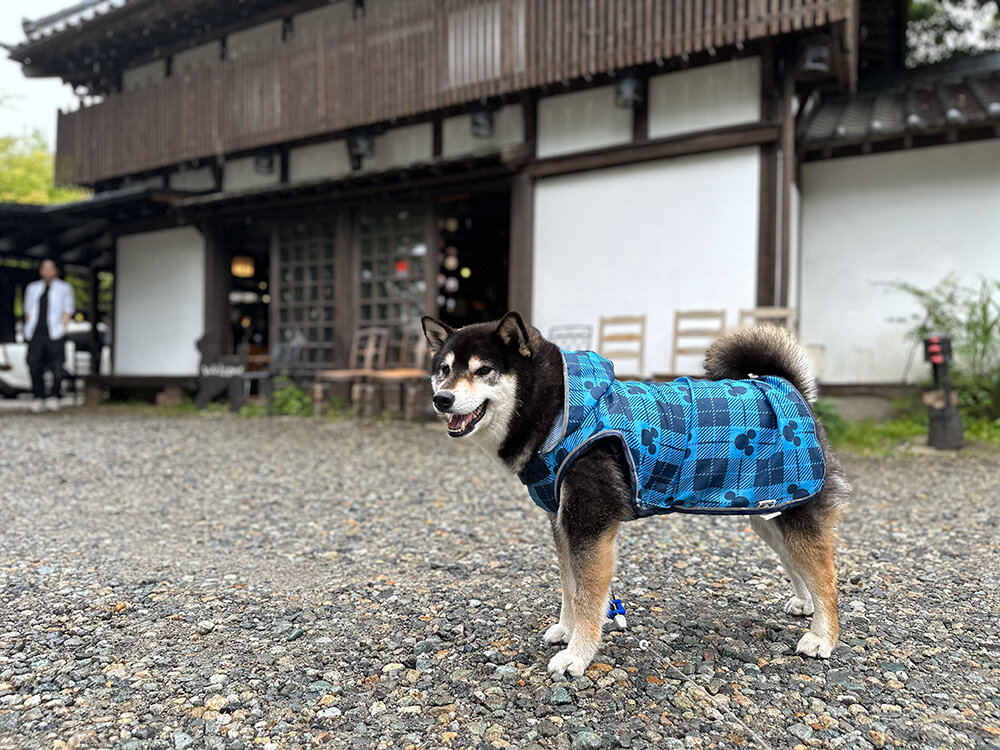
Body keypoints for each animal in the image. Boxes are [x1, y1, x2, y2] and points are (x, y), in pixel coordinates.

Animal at [422, 314, 852, 680]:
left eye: (483, 370)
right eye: (444, 370)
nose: (441, 399)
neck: (559, 410)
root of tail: (793, 389)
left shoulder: (589, 525)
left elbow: (588, 596)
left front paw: (577, 656)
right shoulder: (562, 522)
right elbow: (569, 586)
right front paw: (565, 629)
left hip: (794, 510)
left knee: (827, 577)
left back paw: (823, 636)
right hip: (769, 513)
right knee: (797, 563)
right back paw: (806, 604)